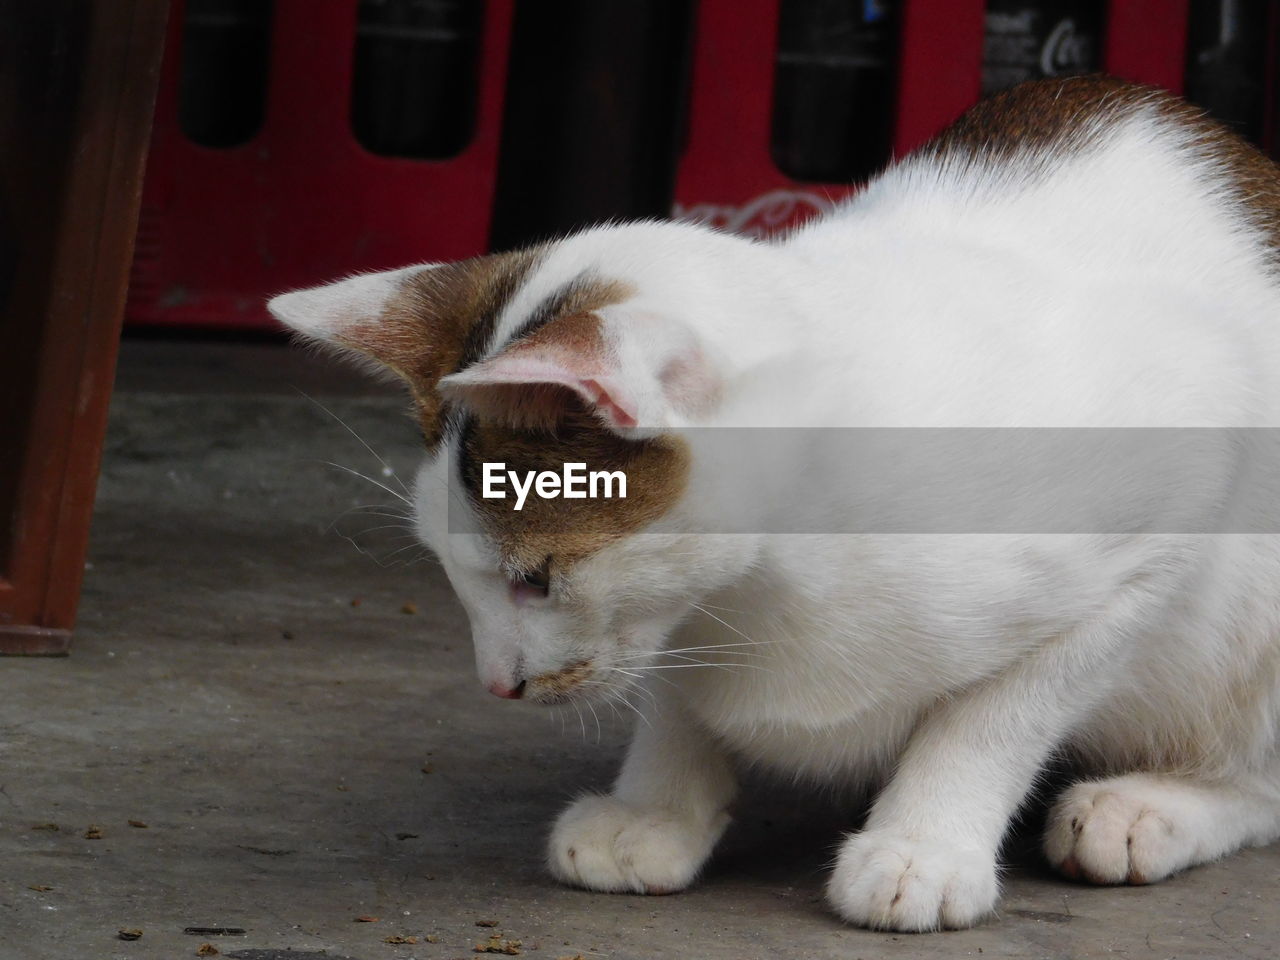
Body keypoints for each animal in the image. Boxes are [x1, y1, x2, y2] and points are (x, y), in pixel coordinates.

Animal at [267, 75, 1280, 931]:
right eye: (450, 570)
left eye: (536, 578)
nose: (495, 685)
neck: (772, 576)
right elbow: (670, 686)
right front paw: (655, 807)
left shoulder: (1176, 493)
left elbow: (1005, 708)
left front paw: (924, 841)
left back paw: (1147, 807)